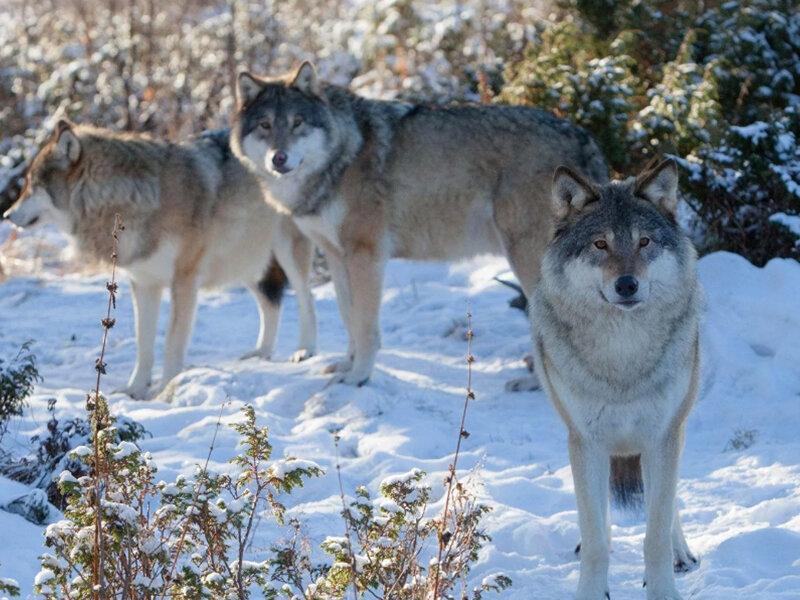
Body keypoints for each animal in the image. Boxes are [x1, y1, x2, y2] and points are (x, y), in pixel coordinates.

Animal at [6, 120, 318, 398]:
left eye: (31, 185)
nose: (7, 215)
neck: (139, 198)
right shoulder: (143, 283)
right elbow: (144, 344)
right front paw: (134, 390)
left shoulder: (185, 279)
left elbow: (171, 342)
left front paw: (166, 387)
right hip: (247, 261)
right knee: (271, 304)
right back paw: (260, 354)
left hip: (286, 251)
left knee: (306, 297)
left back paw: (305, 351)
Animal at [230, 61, 608, 386]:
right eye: (265, 125)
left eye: (298, 123)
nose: (279, 159)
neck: (343, 155)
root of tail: (584, 135)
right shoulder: (338, 257)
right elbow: (347, 317)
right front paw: (346, 365)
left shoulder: (366, 254)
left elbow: (364, 325)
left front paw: (359, 377)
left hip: (525, 259)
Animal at [532, 159, 700, 600]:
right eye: (599, 245)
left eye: (644, 242)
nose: (627, 284)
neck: (622, 356)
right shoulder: (586, 441)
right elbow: (594, 539)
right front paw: (591, 592)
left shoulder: (663, 436)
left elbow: (655, 533)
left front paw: (662, 590)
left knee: (668, 504)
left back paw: (681, 553)